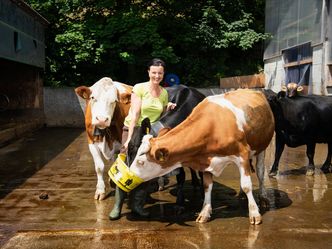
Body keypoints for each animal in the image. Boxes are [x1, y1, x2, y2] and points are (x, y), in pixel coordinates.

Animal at [128, 89, 274, 224]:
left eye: (141, 161)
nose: (129, 177)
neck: (214, 126)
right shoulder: (205, 159)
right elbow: (207, 186)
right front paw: (204, 212)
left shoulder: (242, 154)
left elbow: (247, 184)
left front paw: (254, 213)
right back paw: (242, 195)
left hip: (261, 147)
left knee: (260, 172)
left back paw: (263, 197)